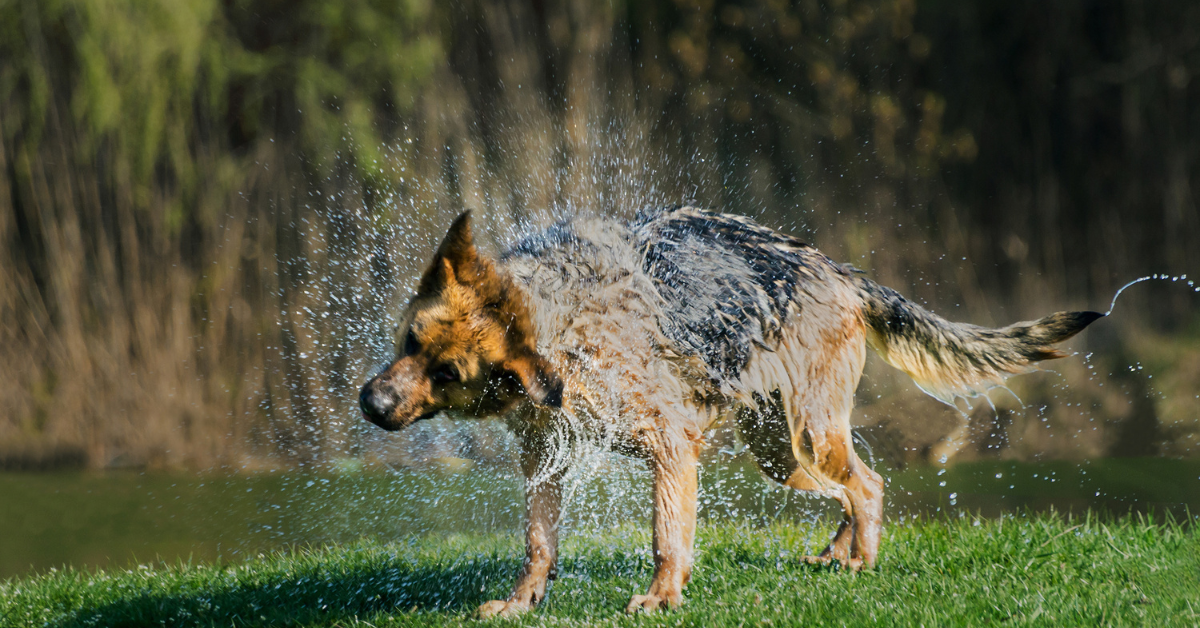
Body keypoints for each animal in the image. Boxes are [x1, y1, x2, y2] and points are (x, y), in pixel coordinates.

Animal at [355, 207, 1099, 619]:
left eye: (447, 374)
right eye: (410, 342)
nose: (370, 403)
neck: (559, 328)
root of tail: (843, 273)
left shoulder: (670, 449)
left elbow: (667, 536)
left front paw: (661, 598)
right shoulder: (544, 457)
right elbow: (539, 543)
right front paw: (520, 602)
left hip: (808, 435)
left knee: (867, 485)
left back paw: (862, 562)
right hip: (780, 450)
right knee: (856, 487)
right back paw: (841, 552)